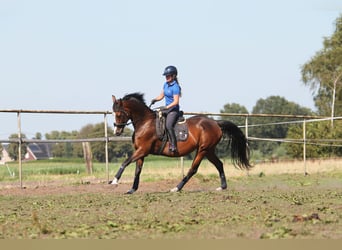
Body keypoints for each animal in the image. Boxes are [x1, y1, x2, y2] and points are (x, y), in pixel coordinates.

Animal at [109, 92, 251, 193]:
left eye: (119, 114)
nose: (117, 131)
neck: (145, 122)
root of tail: (215, 123)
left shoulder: (143, 150)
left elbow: (125, 162)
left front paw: (114, 181)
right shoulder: (140, 152)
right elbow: (137, 170)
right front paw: (132, 189)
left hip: (203, 150)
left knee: (193, 169)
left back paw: (176, 188)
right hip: (209, 151)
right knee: (219, 164)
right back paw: (222, 187)